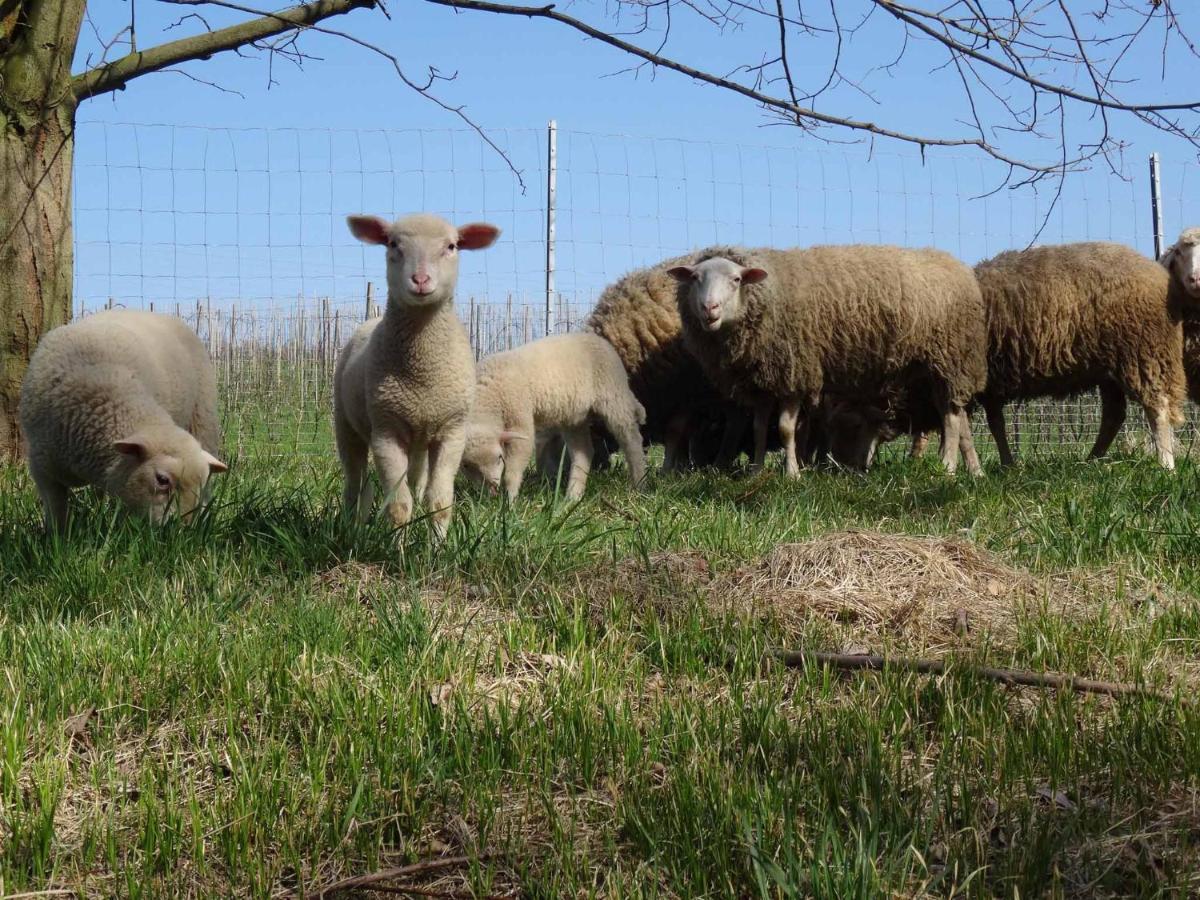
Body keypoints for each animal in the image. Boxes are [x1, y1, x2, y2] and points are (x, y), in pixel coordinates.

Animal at [18, 312, 226, 535]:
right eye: (162, 480)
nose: (181, 532)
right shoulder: (43, 470)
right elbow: (56, 514)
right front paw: (57, 538)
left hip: (203, 419)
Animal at [333, 214, 496, 540]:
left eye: (452, 246)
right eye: (393, 244)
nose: (420, 280)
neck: (423, 375)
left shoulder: (451, 432)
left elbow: (440, 501)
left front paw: (438, 545)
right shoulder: (386, 432)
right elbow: (398, 505)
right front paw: (396, 546)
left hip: (420, 439)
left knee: (416, 482)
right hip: (346, 425)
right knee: (357, 486)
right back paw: (353, 530)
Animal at [458, 331, 648, 501]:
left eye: (499, 458)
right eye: (466, 466)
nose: (492, 489)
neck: (488, 397)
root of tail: (601, 341)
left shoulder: (520, 416)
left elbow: (515, 465)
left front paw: (510, 501)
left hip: (614, 397)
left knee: (631, 438)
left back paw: (639, 483)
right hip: (575, 417)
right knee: (584, 452)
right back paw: (573, 495)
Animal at [667, 243, 984, 475]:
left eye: (736, 280)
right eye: (695, 278)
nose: (709, 308)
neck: (771, 294)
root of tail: (956, 265)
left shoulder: (795, 372)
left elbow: (785, 429)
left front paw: (792, 474)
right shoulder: (763, 382)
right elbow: (758, 429)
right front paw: (756, 472)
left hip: (950, 360)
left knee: (951, 418)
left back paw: (948, 467)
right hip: (931, 370)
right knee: (957, 416)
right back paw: (973, 470)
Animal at [974, 240, 1190, 472]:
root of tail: (1158, 273)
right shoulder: (989, 388)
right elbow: (995, 424)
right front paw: (1006, 465)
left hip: (1142, 353)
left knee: (1158, 406)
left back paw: (1166, 464)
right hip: (1110, 370)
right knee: (1114, 415)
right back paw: (1091, 460)